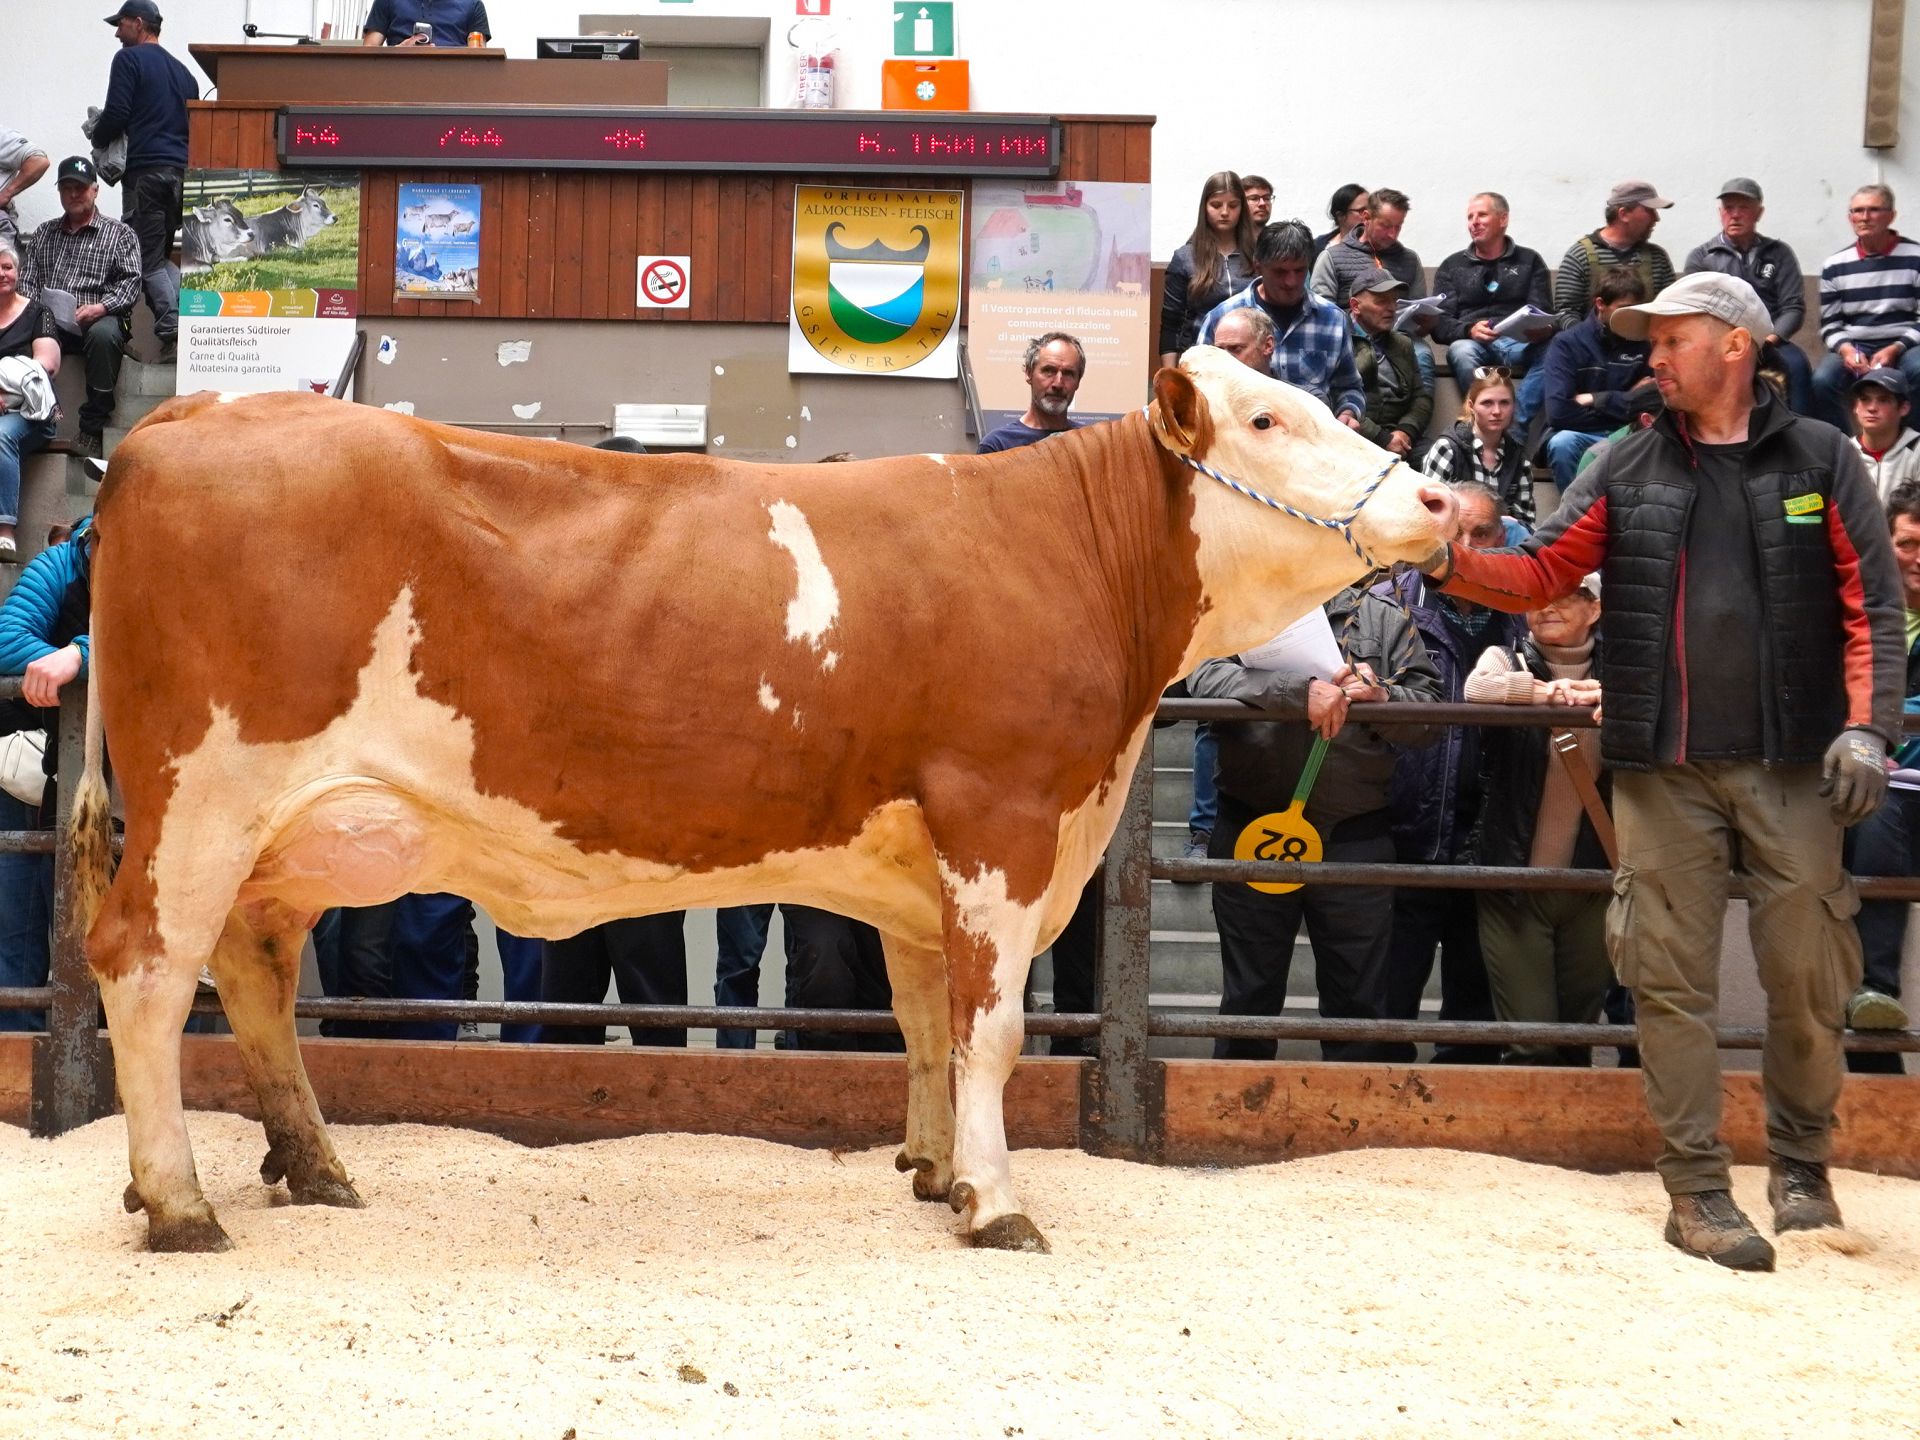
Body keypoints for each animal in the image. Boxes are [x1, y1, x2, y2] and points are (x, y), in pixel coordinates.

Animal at [70, 349, 1457, 1254]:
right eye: (1269, 418)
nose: (1445, 496)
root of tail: (188, 410)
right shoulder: (1002, 818)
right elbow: (993, 1031)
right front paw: (1000, 1202)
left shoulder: (924, 862)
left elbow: (927, 1021)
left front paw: (933, 1172)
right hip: (204, 798)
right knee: (145, 964)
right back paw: (181, 1203)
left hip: (291, 835)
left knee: (249, 969)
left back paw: (311, 1168)